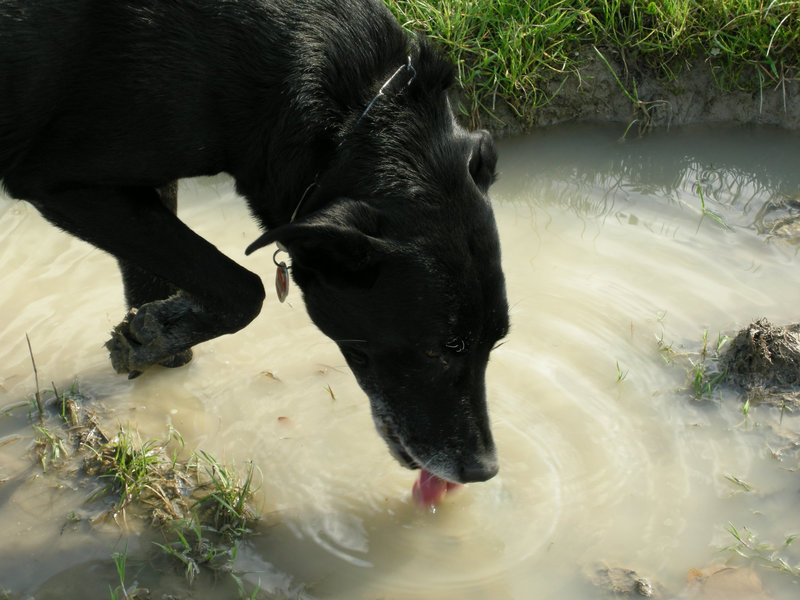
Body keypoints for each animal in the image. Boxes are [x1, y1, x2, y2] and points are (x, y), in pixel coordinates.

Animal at [0, 0, 510, 486]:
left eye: (496, 342)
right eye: (435, 352)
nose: (484, 470)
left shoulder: (140, 185)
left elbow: (150, 282)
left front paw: (151, 345)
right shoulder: (61, 183)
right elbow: (244, 287)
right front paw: (153, 341)